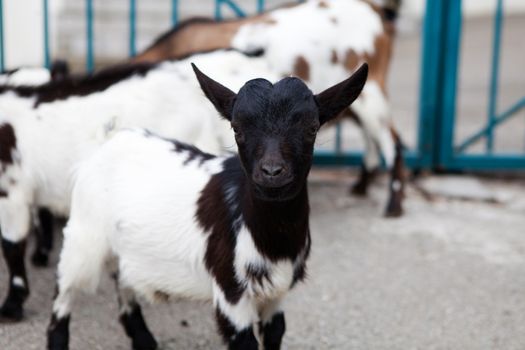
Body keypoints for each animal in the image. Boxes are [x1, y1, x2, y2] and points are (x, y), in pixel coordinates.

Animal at [48, 63, 368, 350]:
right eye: (237, 128)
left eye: (312, 128)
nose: (272, 171)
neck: (271, 240)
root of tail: (109, 141)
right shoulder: (231, 293)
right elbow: (244, 342)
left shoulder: (276, 295)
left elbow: (276, 333)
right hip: (84, 235)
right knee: (64, 293)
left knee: (124, 283)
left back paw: (144, 341)